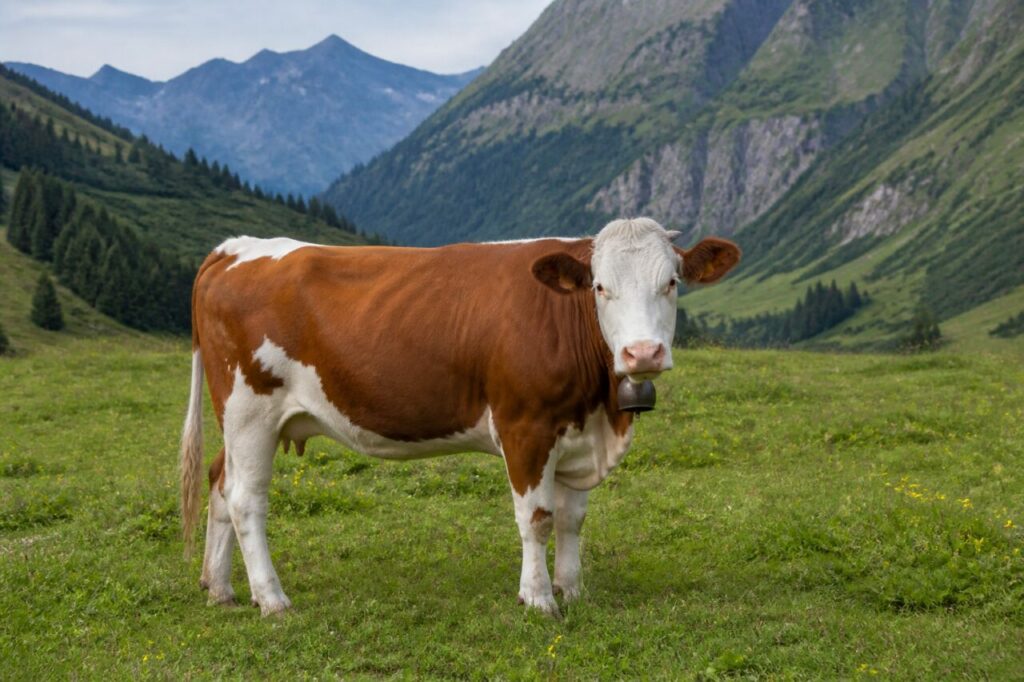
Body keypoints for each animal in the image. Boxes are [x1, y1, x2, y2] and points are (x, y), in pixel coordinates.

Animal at [180, 217, 740, 616]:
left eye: (672, 282)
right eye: (600, 287)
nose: (642, 354)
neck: (601, 412)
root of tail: (234, 249)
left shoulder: (577, 432)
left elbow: (572, 519)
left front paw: (572, 589)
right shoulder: (525, 427)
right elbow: (537, 517)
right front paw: (539, 599)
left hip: (241, 419)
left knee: (219, 482)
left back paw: (219, 587)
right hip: (250, 408)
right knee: (246, 499)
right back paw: (272, 599)